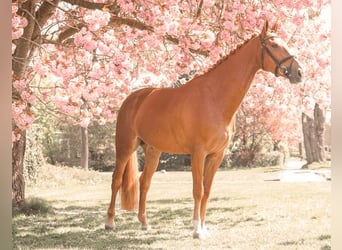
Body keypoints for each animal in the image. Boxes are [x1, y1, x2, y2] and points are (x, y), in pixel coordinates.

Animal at [104, 21, 302, 238]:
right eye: (274, 45)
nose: (299, 72)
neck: (214, 98)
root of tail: (133, 99)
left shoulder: (217, 155)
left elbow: (207, 190)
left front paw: (205, 228)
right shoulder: (198, 153)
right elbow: (198, 190)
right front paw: (197, 230)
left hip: (153, 151)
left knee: (144, 182)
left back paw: (144, 223)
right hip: (125, 147)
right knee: (115, 180)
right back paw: (110, 222)